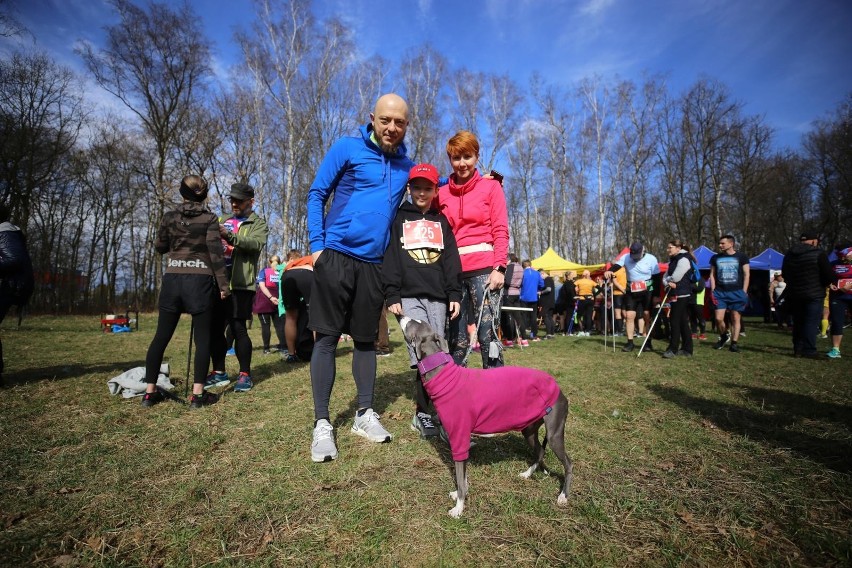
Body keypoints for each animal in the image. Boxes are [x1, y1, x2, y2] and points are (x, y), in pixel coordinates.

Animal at [398, 318, 572, 516]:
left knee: (568, 463)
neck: (444, 374)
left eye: (412, 324)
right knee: (540, 451)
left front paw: (458, 508)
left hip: (554, 433)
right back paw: (527, 474)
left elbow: (460, 477)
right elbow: (463, 477)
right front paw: (458, 495)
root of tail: (558, 388)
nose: (401, 317)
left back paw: (563, 496)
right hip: (529, 430)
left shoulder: (459, 438)